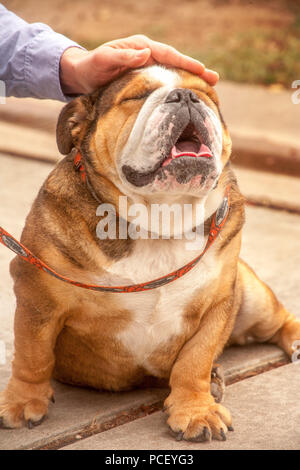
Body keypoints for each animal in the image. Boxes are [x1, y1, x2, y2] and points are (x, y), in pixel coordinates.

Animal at [0, 65, 300, 440]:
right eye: (136, 96)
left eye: (209, 97)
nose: (187, 96)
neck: (162, 216)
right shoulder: (37, 295)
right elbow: (32, 353)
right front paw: (23, 400)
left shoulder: (219, 300)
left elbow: (196, 360)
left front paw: (194, 409)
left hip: (253, 297)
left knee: (281, 319)